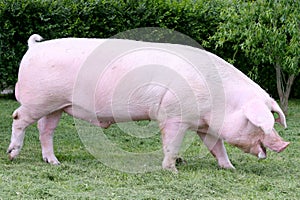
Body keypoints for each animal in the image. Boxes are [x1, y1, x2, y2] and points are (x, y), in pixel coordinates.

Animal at [7, 34, 288, 172]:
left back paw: (54, 163)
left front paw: (230, 168)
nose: (284, 144)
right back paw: (12, 155)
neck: (222, 101)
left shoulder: (204, 124)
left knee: (46, 130)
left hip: (56, 105)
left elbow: (216, 146)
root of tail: (34, 48)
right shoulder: (173, 116)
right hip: (38, 100)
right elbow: (171, 144)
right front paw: (171, 170)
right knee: (18, 118)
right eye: (258, 124)